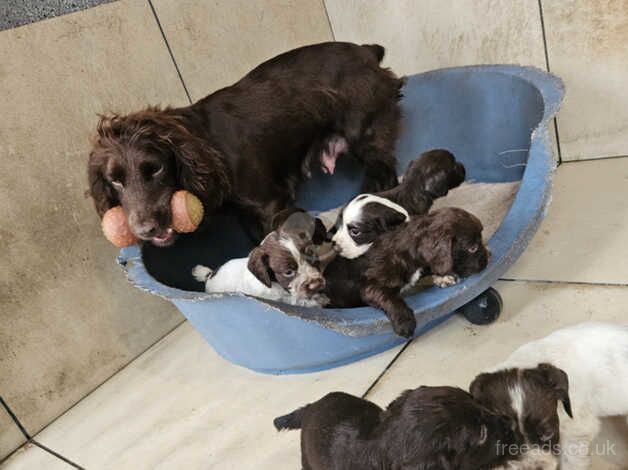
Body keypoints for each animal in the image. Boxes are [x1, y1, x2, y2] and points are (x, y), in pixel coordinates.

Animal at [87, 41, 402, 246]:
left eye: (155, 169)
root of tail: (366, 50)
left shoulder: (271, 203)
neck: (208, 146)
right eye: (115, 181)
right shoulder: (246, 216)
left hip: (367, 137)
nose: (146, 230)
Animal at [324, 207, 490, 336]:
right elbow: (389, 298)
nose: (487, 259)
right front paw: (405, 322)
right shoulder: (371, 285)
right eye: (473, 248)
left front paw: (443, 277)